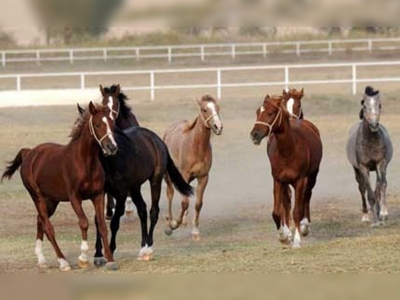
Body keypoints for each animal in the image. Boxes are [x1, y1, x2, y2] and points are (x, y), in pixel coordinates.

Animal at [1, 102, 120, 272]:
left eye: (112, 123)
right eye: (97, 124)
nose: (112, 147)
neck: (85, 162)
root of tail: (30, 153)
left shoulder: (97, 195)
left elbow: (102, 226)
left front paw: (110, 261)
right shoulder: (74, 197)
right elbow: (84, 222)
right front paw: (83, 259)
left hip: (52, 200)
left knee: (40, 220)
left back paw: (41, 259)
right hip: (37, 196)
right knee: (48, 226)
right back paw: (63, 262)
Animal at [75, 105, 194, 262]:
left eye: (112, 124)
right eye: (97, 124)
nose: (111, 147)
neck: (109, 162)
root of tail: (158, 140)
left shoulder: (121, 193)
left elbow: (115, 222)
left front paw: (110, 250)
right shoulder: (102, 192)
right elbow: (98, 220)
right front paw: (98, 253)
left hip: (155, 181)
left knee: (153, 212)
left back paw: (148, 248)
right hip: (135, 187)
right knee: (142, 209)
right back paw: (143, 245)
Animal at [163, 95, 223, 240]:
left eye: (217, 108)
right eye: (204, 109)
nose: (218, 127)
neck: (195, 147)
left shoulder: (203, 177)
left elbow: (198, 204)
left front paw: (195, 231)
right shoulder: (184, 175)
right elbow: (184, 203)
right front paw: (174, 224)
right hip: (168, 177)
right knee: (170, 194)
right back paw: (170, 222)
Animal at [248, 94, 324, 248]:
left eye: (270, 113)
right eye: (258, 112)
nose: (254, 134)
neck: (289, 151)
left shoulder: (300, 180)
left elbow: (297, 211)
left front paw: (297, 240)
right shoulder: (278, 180)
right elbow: (277, 211)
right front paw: (284, 236)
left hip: (312, 175)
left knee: (307, 195)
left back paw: (305, 226)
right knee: (287, 201)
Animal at [346, 85, 392, 226]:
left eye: (380, 105)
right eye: (365, 106)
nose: (374, 125)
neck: (370, 140)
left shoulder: (380, 163)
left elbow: (381, 186)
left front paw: (382, 213)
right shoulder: (363, 167)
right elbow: (370, 193)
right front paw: (375, 221)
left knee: (380, 185)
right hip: (356, 170)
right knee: (362, 189)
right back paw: (366, 216)